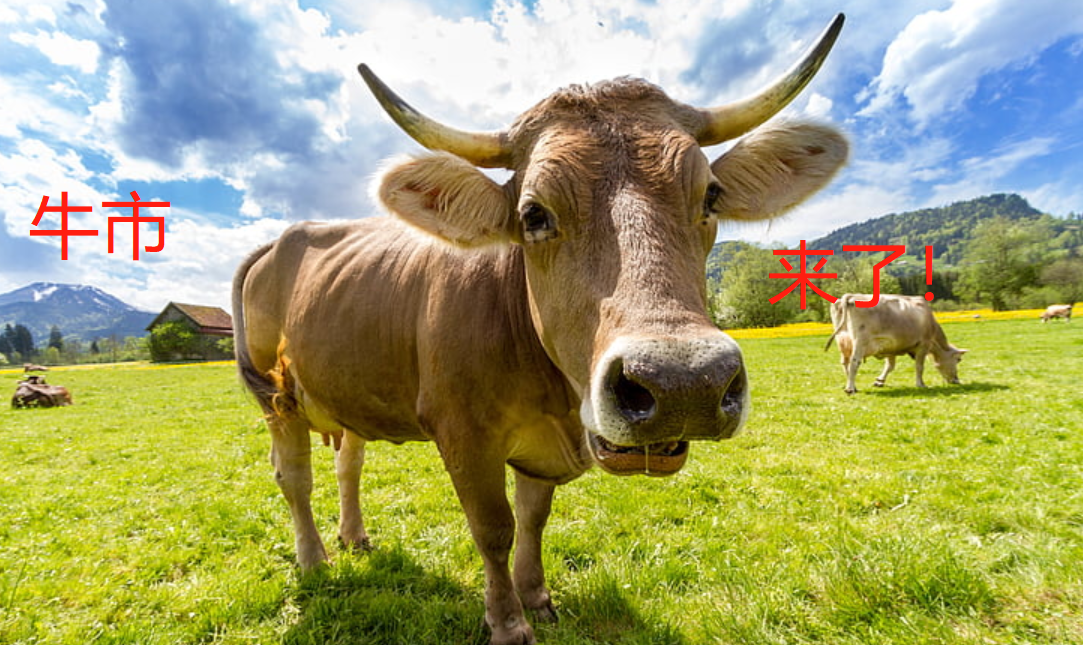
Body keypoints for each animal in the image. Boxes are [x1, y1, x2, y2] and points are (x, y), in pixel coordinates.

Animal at [232, 15, 849, 644]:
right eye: (533, 214)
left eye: (711, 196)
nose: (683, 384)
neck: (551, 394)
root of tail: (283, 239)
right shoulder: (462, 434)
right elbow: (494, 529)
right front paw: (507, 621)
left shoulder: (542, 447)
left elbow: (533, 518)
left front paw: (537, 598)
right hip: (277, 399)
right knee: (294, 477)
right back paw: (314, 560)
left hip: (344, 387)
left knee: (347, 461)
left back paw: (354, 537)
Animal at [823, 292, 970, 393]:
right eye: (958, 360)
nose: (956, 380)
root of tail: (851, 296)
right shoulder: (923, 345)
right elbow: (919, 366)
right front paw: (921, 384)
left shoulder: (890, 347)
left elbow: (890, 366)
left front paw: (880, 381)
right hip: (860, 342)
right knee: (854, 362)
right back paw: (851, 388)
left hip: (843, 340)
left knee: (845, 363)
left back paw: (851, 384)